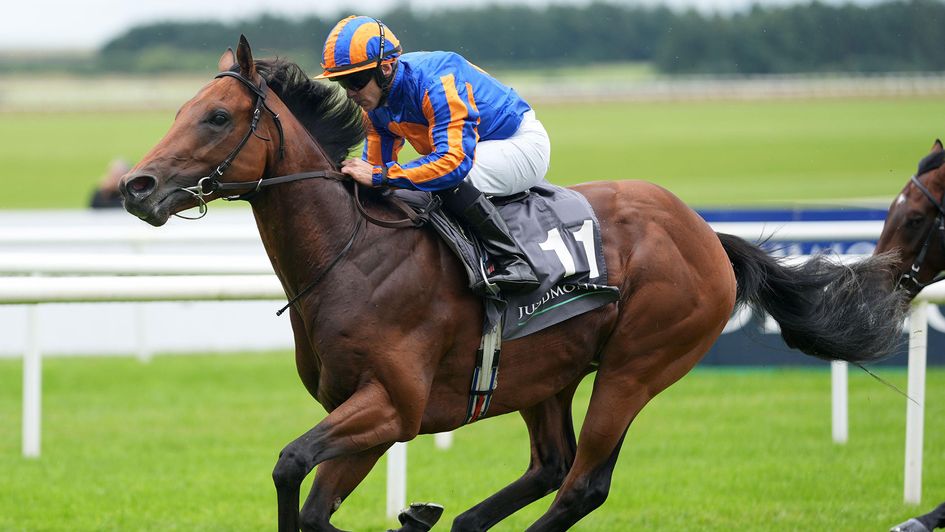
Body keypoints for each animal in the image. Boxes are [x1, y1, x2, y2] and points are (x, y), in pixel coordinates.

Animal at [118, 35, 908, 528]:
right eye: (180, 111)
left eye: (217, 116)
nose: (137, 185)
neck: (352, 254)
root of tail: (705, 234)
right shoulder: (367, 411)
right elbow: (311, 503)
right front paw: (412, 513)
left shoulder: (392, 405)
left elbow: (291, 469)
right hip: (543, 370)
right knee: (550, 464)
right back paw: (457, 520)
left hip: (637, 364)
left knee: (581, 483)